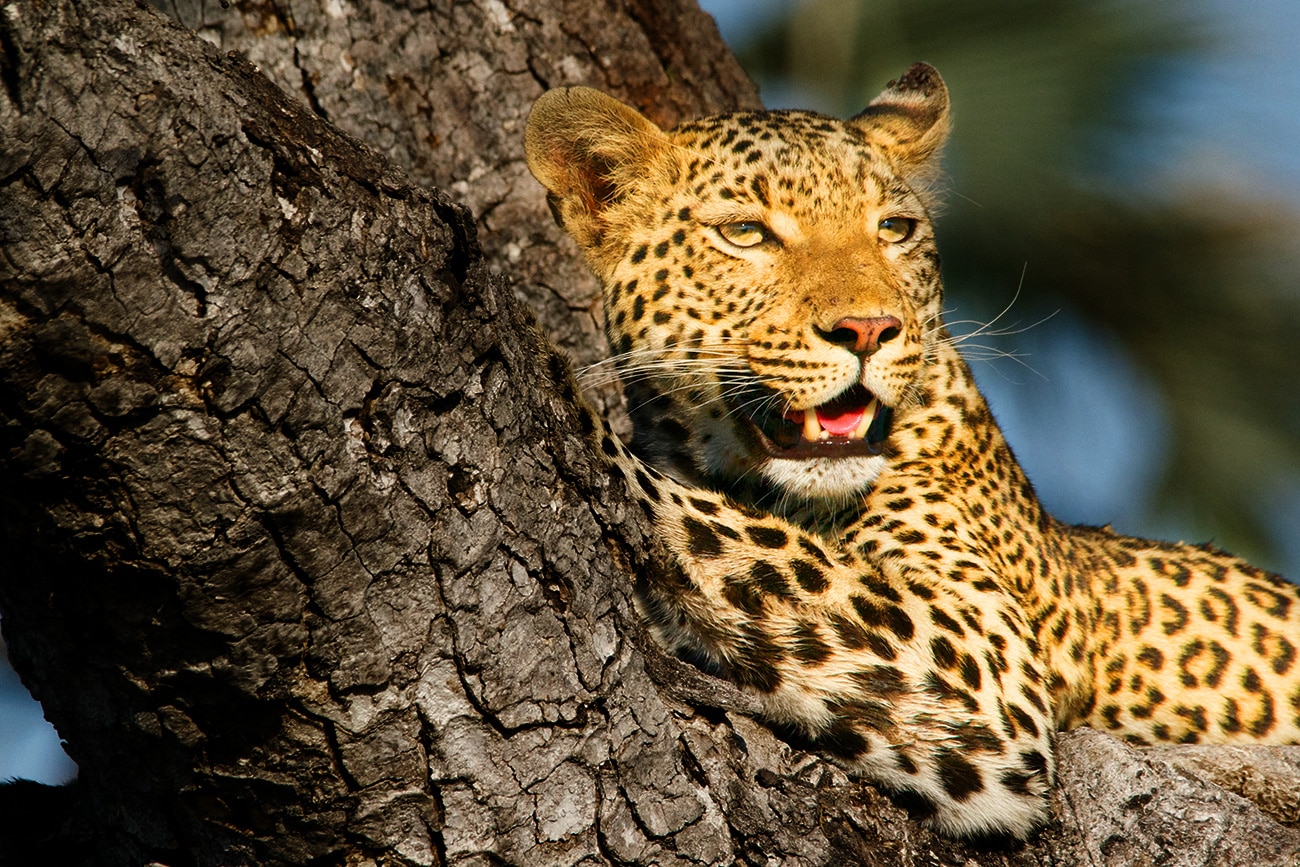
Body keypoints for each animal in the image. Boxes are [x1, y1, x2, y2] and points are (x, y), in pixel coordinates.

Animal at [523, 62, 1300, 840]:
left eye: (893, 229)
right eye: (745, 233)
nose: (869, 329)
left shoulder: (984, 665)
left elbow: (719, 526)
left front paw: (532, 358)